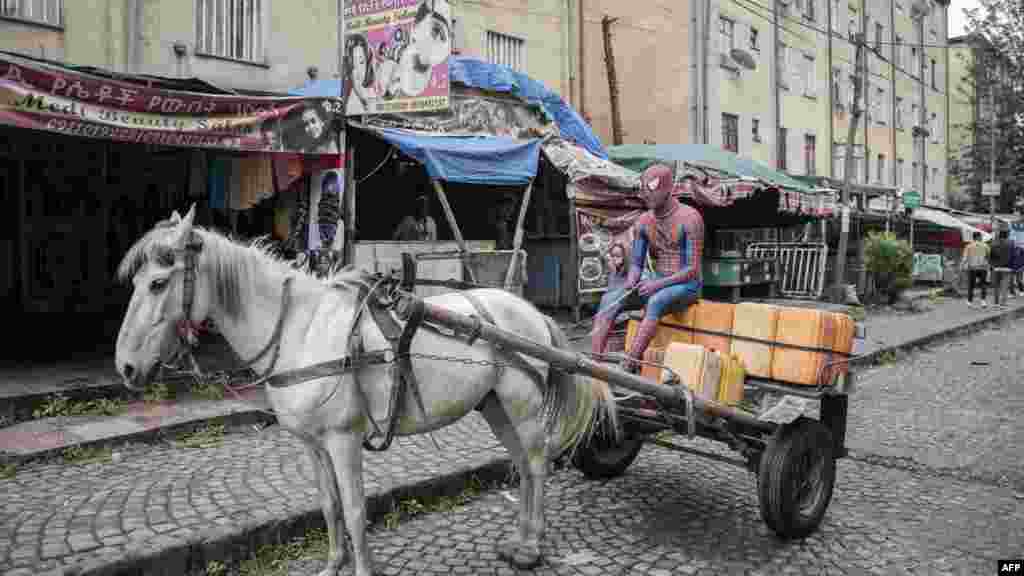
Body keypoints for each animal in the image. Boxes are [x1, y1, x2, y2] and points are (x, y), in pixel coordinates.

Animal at [116, 206, 618, 573]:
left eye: (158, 283)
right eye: (138, 282)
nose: (126, 367)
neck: (300, 330)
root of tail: (531, 312)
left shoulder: (343, 440)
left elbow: (356, 510)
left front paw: (359, 568)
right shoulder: (312, 444)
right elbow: (329, 504)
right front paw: (333, 564)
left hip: (522, 405)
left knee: (536, 463)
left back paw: (532, 546)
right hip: (495, 407)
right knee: (521, 464)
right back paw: (520, 541)